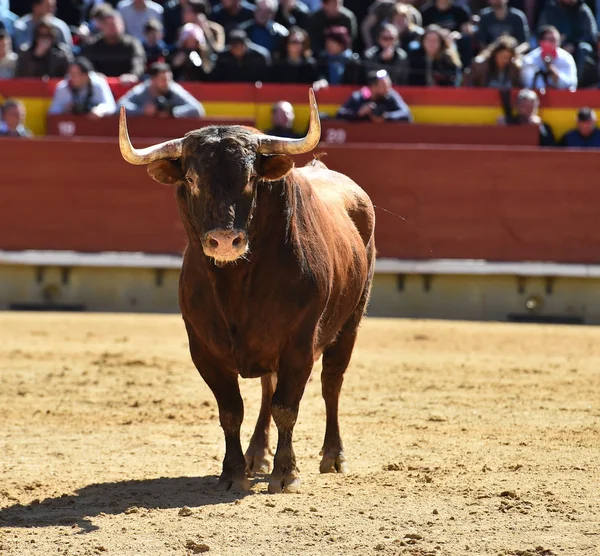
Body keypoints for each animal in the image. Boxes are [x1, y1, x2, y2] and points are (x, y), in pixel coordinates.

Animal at [118, 91, 376, 496]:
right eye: (191, 177)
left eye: (251, 178)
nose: (225, 240)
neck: (236, 285)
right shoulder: (203, 348)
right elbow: (231, 410)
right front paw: (233, 472)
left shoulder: (299, 344)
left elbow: (287, 407)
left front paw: (286, 473)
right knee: (267, 390)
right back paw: (257, 453)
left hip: (349, 322)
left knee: (331, 384)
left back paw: (333, 456)